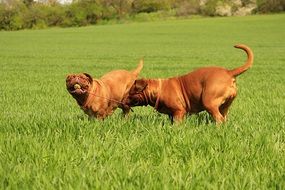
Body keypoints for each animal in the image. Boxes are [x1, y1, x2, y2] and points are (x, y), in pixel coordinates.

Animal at [124, 45, 253, 124]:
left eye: (130, 92)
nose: (123, 100)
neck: (159, 89)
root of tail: (229, 72)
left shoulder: (179, 112)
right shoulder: (171, 114)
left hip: (209, 102)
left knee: (219, 119)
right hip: (224, 106)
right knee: (224, 117)